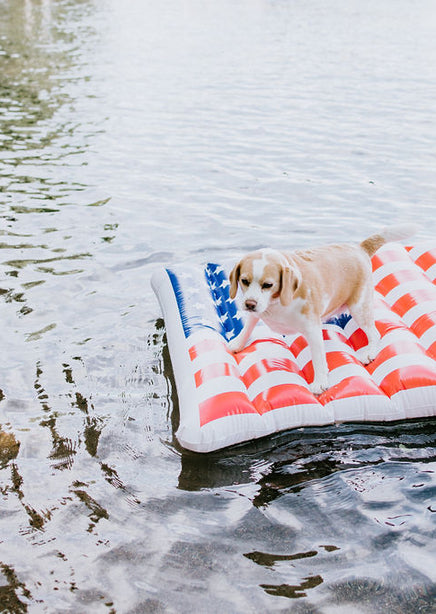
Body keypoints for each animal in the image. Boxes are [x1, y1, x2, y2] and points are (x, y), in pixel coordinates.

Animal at [228, 226, 416, 394]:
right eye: (244, 281)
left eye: (268, 285)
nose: (250, 304)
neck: (276, 303)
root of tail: (359, 248)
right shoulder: (257, 312)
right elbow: (248, 327)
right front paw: (237, 343)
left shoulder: (312, 328)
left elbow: (318, 358)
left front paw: (320, 382)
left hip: (359, 308)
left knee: (374, 333)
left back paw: (370, 351)